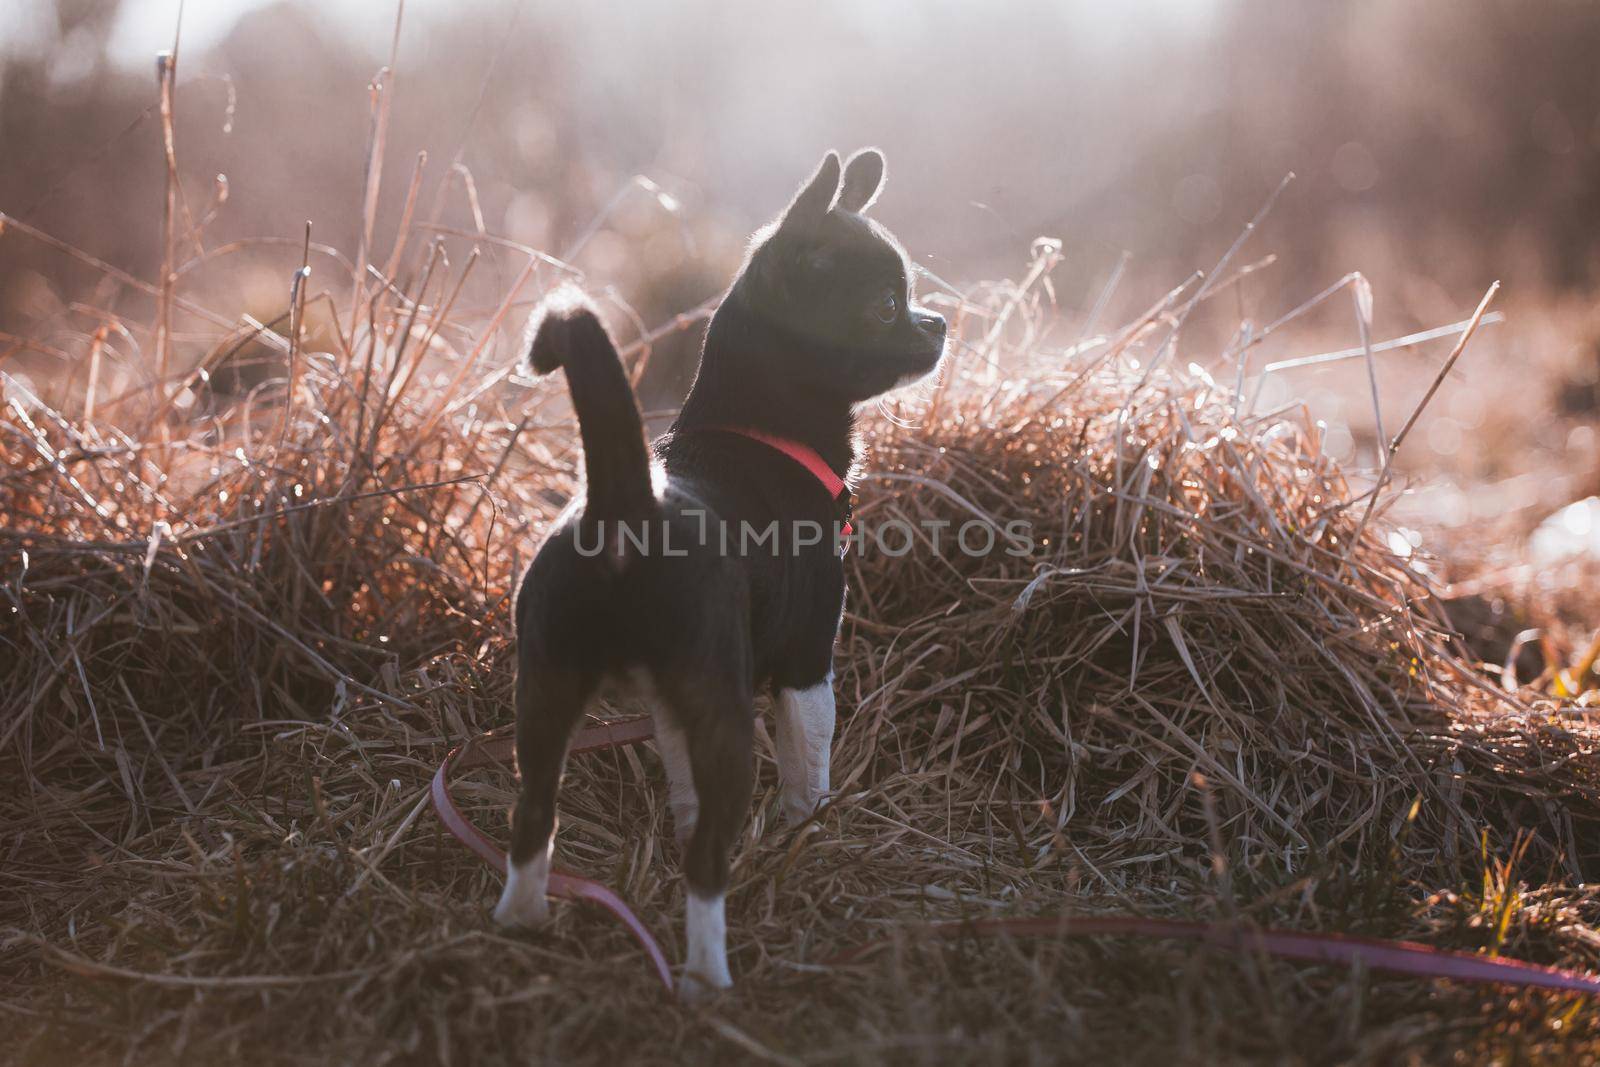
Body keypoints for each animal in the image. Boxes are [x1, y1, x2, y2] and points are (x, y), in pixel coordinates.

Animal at [499, 150, 940, 1004]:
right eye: (886, 305)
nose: (937, 324)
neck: (756, 429)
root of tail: (625, 506)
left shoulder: (676, 702)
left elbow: (681, 785)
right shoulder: (806, 662)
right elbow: (809, 761)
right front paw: (811, 825)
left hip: (544, 690)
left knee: (533, 815)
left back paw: (522, 920)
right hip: (724, 716)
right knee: (706, 865)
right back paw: (707, 976)